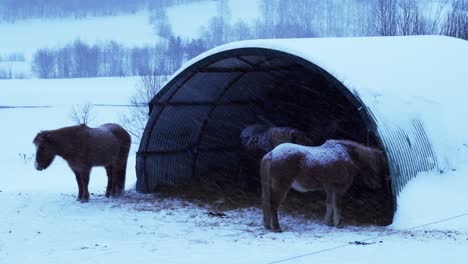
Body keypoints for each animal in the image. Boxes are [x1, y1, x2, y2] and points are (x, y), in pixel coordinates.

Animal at [260, 139, 388, 232]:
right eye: (376, 166)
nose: (377, 185)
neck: (346, 154)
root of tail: (272, 153)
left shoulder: (329, 188)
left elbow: (329, 204)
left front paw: (328, 223)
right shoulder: (339, 188)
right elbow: (337, 205)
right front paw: (338, 224)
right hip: (281, 186)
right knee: (273, 204)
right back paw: (277, 228)